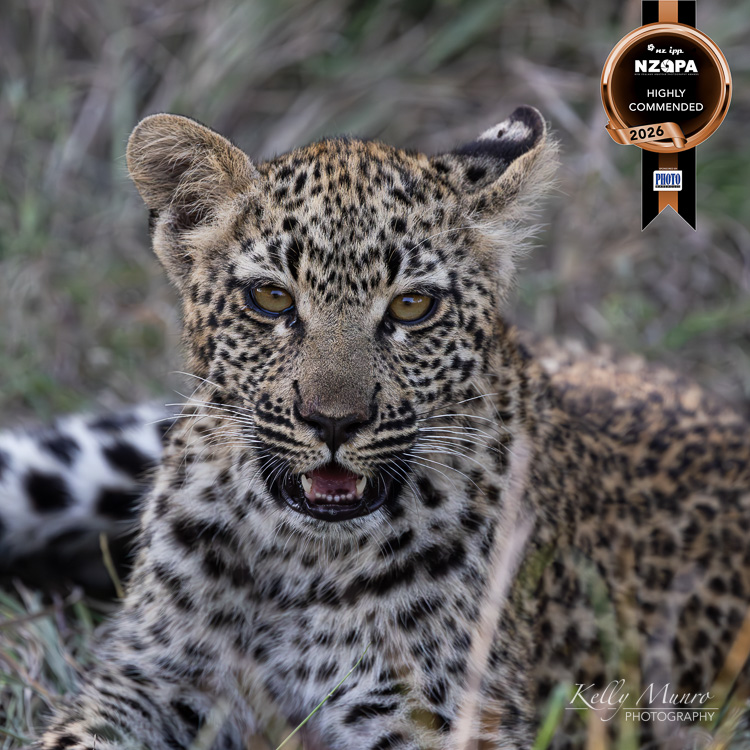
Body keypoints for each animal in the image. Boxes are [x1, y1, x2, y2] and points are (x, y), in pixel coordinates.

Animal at [11, 105, 750, 749]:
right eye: (271, 298)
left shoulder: (441, 717)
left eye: (413, 306)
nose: (333, 421)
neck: (296, 558)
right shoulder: (146, 682)